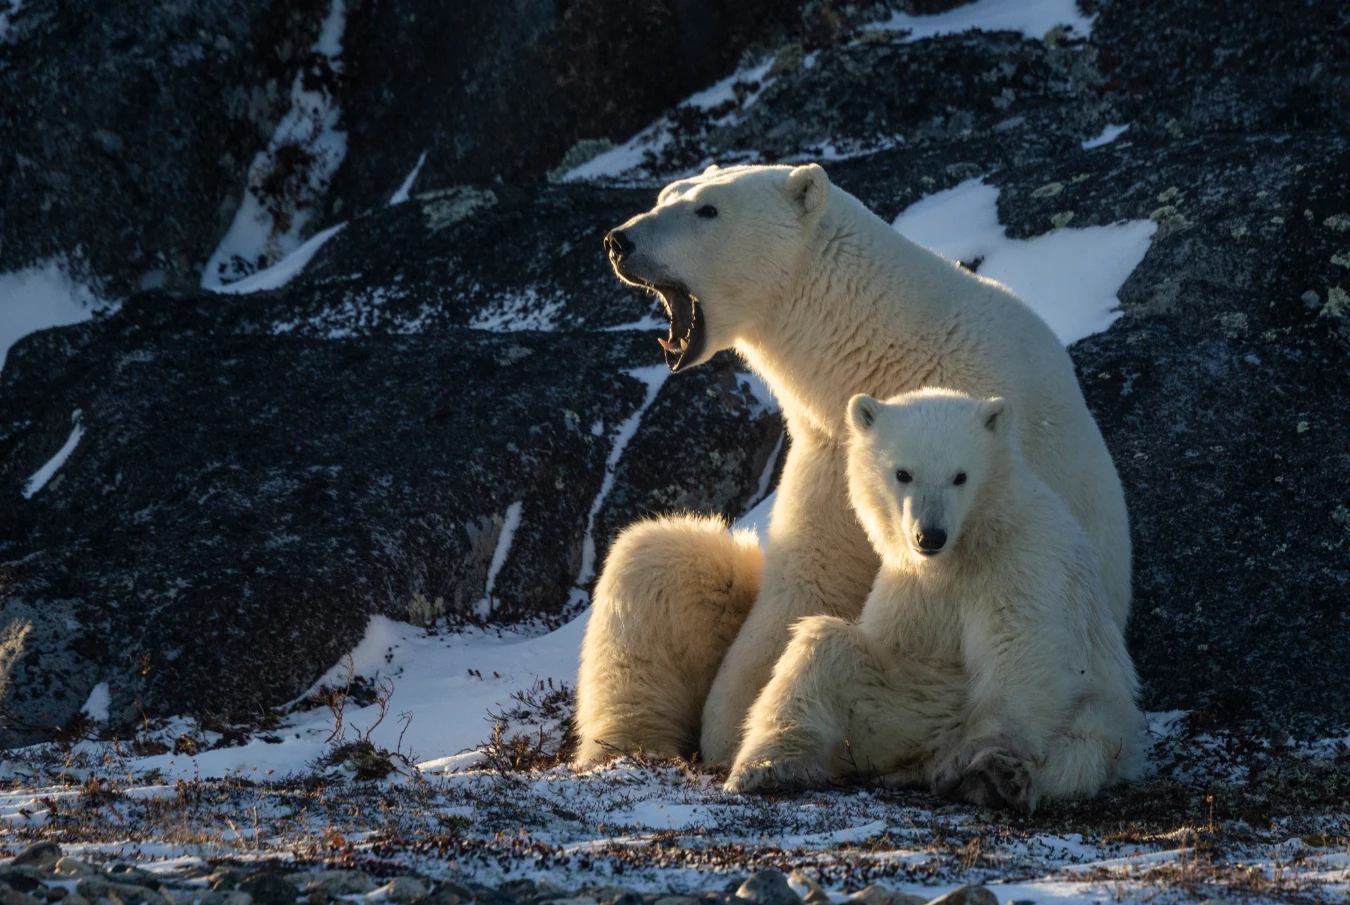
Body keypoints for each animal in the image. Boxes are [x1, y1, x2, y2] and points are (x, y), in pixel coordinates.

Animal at [572, 162, 1132, 768]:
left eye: (708, 209)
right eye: (666, 194)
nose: (619, 241)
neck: (885, 351)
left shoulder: (980, 437)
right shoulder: (832, 444)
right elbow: (810, 574)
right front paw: (733, 721)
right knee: (654, 555)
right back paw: (625, 747)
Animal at [724, 389, 1144, 810]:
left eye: (960, 476)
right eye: (903, 473)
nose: (930, 535)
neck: (964, 548)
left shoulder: (1023, 561)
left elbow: (1021, 649)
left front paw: (986, 759)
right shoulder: (908, 587)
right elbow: (886, 641)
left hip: (1098, 717)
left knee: (1080, 747)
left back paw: (989, 777)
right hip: (909, 706)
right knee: (825, 648)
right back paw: (766, 767)